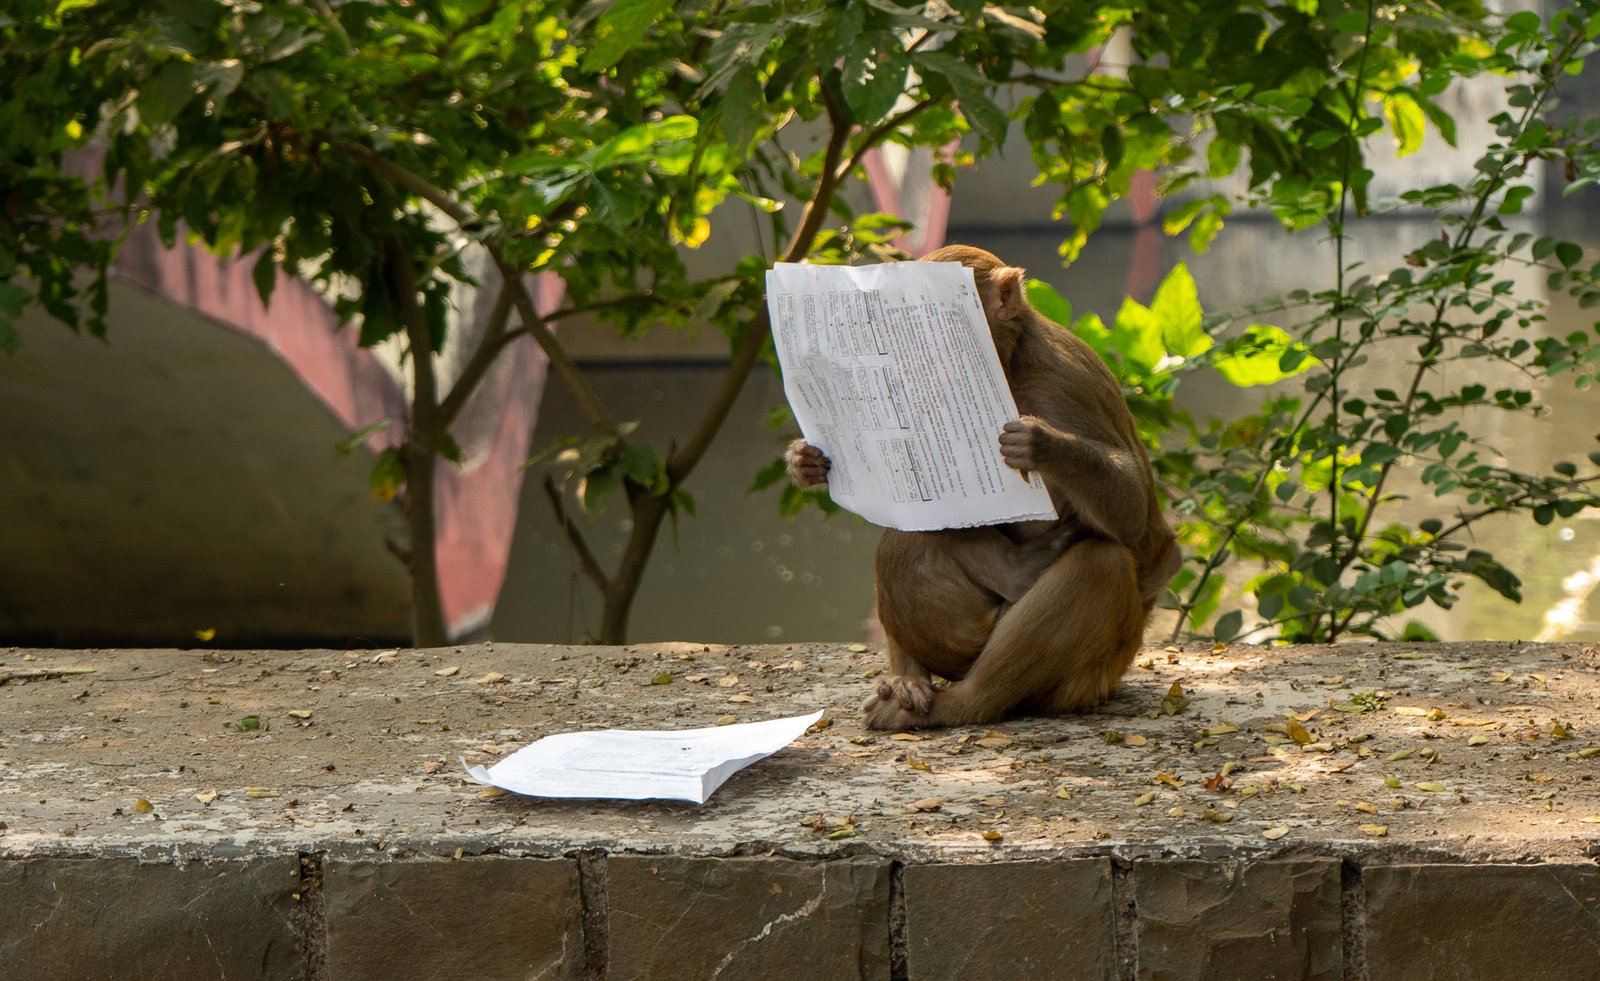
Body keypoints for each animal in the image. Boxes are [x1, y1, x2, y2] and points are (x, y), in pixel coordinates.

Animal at [786, 244, 1180, 729]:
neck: (1009, 366)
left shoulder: (1063, 385)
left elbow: (1134, 514)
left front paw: (1042, 444)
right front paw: (806, 461)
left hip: (1087, 678)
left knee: (1101, 564)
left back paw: (967, 700)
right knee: (906, 537)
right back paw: (909, 681)